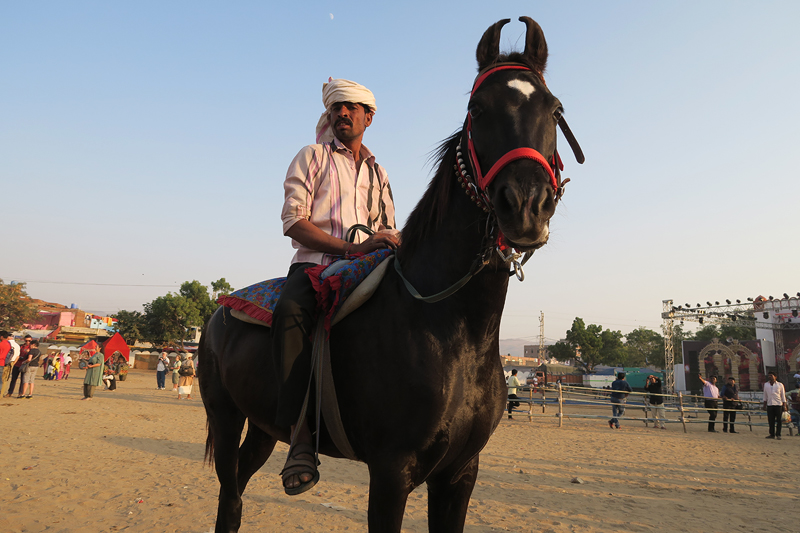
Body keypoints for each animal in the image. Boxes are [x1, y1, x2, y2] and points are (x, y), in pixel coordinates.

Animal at [197, 16, 580, 532]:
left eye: (555, 109)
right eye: (477, 109)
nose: (525, 205)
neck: (449, 328)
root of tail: (220, 312)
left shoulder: (460, 473)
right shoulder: (391, 472)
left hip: (262, 426)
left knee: (236, 488)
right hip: (224, 415)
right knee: (229, 492)